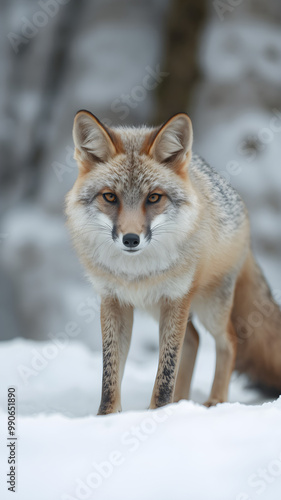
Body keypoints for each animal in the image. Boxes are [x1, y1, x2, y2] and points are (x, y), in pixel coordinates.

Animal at [64, 109, 280, 414]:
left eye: (154, 197)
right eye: (110, 197)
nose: (131, 239)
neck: (135, 273)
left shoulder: (176, 298)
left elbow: (166, 371)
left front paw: (157, 414)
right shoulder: (113, 300)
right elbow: (110, 373)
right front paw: (107, 417)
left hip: (209, 307)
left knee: (228, 341)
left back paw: (214, 401)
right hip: (160, 308)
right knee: (194, 340)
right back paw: (181, 402)